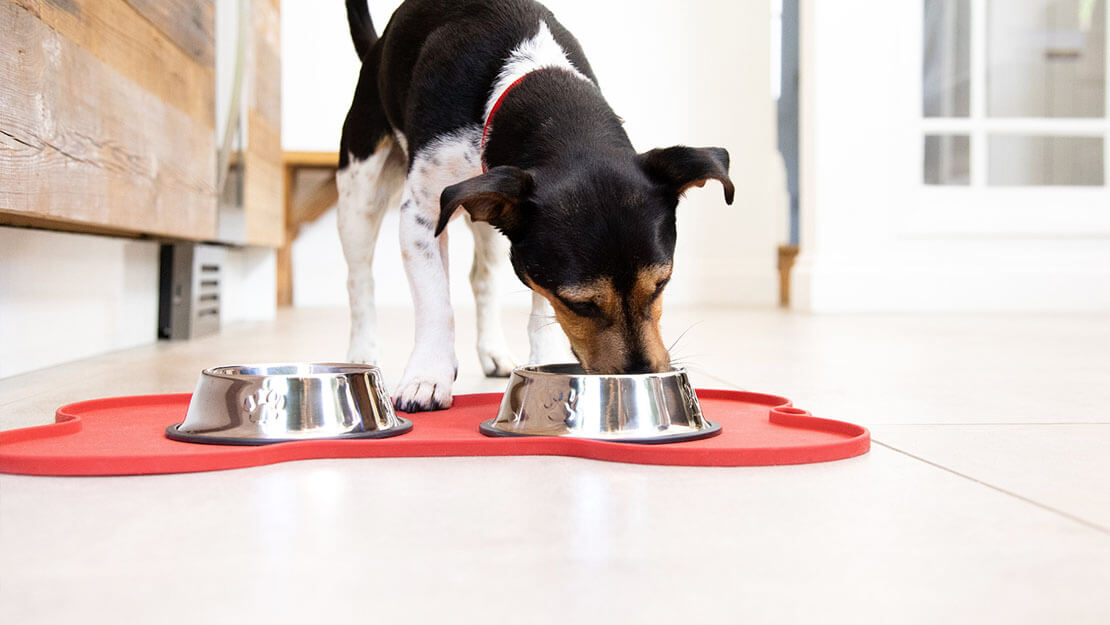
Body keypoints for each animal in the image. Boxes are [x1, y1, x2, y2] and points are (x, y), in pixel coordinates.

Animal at [337, 0, 737, 412]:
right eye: (580, 304)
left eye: (661, 284)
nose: (640, 376)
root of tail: (376, 47)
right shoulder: (422, 213)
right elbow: (436, 305)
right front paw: (427, 377)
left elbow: (538, 304)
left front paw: (545, 361)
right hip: (360, 185)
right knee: (359, 277)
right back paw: (362, 353)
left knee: (482, 278)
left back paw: (493, 351)